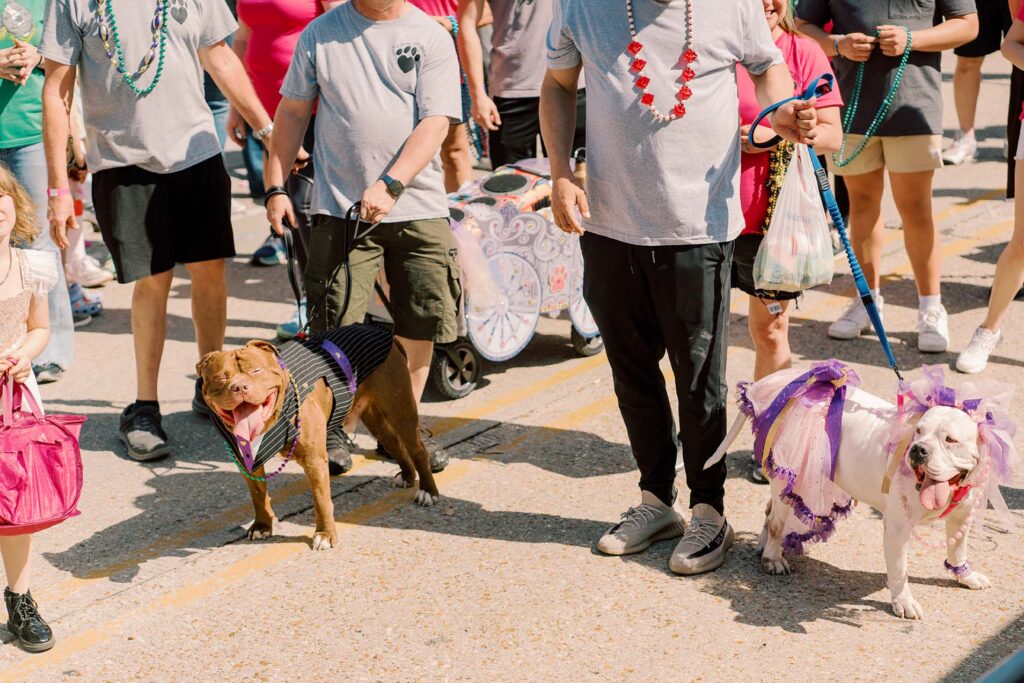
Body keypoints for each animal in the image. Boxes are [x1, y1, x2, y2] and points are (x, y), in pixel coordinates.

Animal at [198, 327, 440, 552]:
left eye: (256, 370)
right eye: (221, 378)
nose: (239, 386)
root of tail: (384, 332)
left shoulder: (314, 460)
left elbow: (321, 500)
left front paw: (325, 535)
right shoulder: (247, 463)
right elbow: (258, 495)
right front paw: (262, 526)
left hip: (400, 410)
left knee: (417, 449)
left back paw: (428, 491)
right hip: (376, 418)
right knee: (395, 444)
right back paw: (407, 476)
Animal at [704, 362, 1015, 618]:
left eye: (950, 439)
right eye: (918, 432)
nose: (918, 450)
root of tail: (787, 386)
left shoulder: (962, 517)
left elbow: (957, 549)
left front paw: (965, 575)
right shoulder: (897, 528)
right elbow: (900, 569)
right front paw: (903, 601)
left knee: (770, 511)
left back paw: (764, 546)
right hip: (790, 474)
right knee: (777, 521)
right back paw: (773, 557)